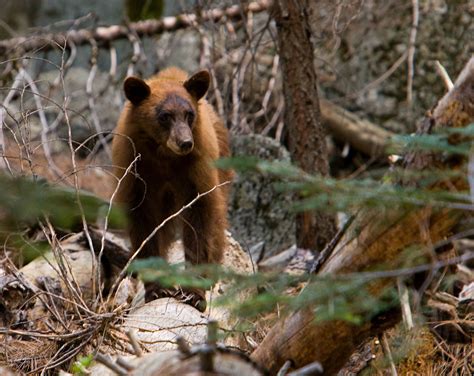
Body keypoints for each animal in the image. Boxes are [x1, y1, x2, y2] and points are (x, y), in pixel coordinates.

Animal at [109, 66, 231, 304]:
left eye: (189, 114)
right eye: (165, 116)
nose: (185, 143)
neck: (165, 157)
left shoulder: (196, 168)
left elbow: (199, 219)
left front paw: (194, 293)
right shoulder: (137, 172)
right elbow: (144, 223)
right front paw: (157, 288)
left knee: (217, 221)